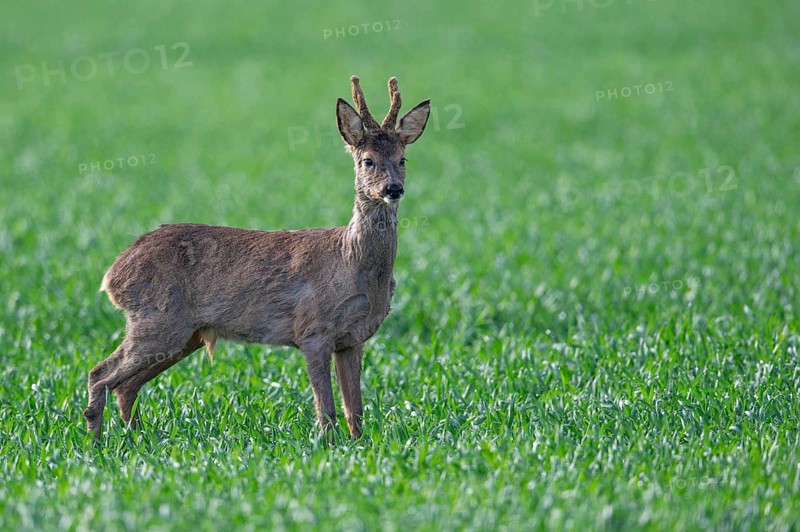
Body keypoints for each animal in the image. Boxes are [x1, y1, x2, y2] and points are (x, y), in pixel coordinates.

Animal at [83, 76, 431, 441]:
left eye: (403, 159)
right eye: (367, 160)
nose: (393, 189)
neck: (353, 263)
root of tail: (113, 274)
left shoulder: (352, 339)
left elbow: (356, 410)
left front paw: (358, 445)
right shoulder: (313, 330)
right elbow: (327, 408)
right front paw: (327, 444)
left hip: (183, 335)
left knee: (125, 385)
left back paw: (136, 437)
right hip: (157, 320)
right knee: (100, 374)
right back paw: (96, 442)